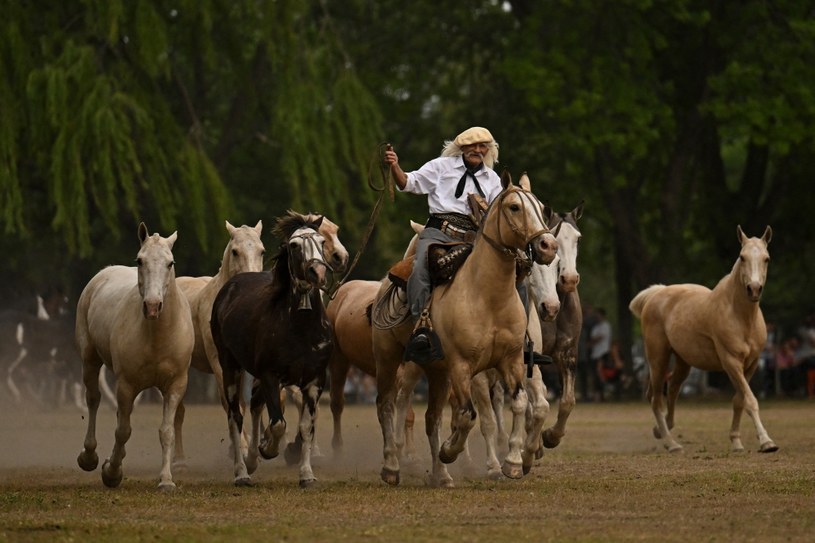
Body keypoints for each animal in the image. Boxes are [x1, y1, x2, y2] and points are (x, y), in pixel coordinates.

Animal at [75, 223, 196, 490]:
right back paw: (90, 457)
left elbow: (166, 431)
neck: (156, 337)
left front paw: (166, 480)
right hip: (90, 360)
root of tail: (102, 274)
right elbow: (123, 431)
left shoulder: (175, 385)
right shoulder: (126, 384)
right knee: (94, 400)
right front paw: (111, 473)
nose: (152, 306)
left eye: (170, 263)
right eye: (140, 261)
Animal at [212, 210, 336, 486]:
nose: (317, 272)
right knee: (235, 416)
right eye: (294, 245)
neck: (301, 327)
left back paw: (251, 461)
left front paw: (306, 474)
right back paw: (242, 472)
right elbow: (278, 423)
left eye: (322, 242)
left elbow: (306, 427)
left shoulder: (315, 381)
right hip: (230, 367)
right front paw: (268, 448)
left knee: (256, 405)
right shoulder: (270, 375)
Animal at [372, 172, 556, 486]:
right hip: (391, 360)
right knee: (389, 404)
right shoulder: (464, 367)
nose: (548, 245)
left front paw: (515, 461)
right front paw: (460, 454)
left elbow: (522, 404)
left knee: (432, 418)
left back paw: (441, 475)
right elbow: (474, 417)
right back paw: (393, 466)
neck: (488, 297)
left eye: (541, 207)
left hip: (436, 371)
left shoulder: (513, 362)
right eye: (514, 207)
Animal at [632, 225, 776, 454]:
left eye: (766, 258)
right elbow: (750, 400)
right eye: (742, 257)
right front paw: (766, 441)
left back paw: (661, 430)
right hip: (658, 358)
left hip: (683, 361)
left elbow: (739, 400)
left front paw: (736, 442)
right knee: (655, 398)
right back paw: (671, 443)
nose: (754, 289)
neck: (741, 317)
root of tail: (657, 293)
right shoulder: (731, 362)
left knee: (672, 390)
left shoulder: (751, 365)